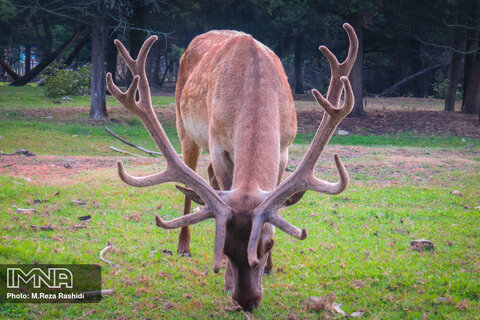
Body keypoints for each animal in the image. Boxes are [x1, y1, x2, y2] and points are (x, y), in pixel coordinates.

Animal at [107, 23, 358, 312]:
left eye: (268, 244)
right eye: (224, 247)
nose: (246, 301)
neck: (255, 84)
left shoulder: (284, 148)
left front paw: (271, 267)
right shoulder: (219, 147)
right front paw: (227, 281)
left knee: (208, 178)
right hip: (185, 129)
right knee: (191, 183)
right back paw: (183, 246)